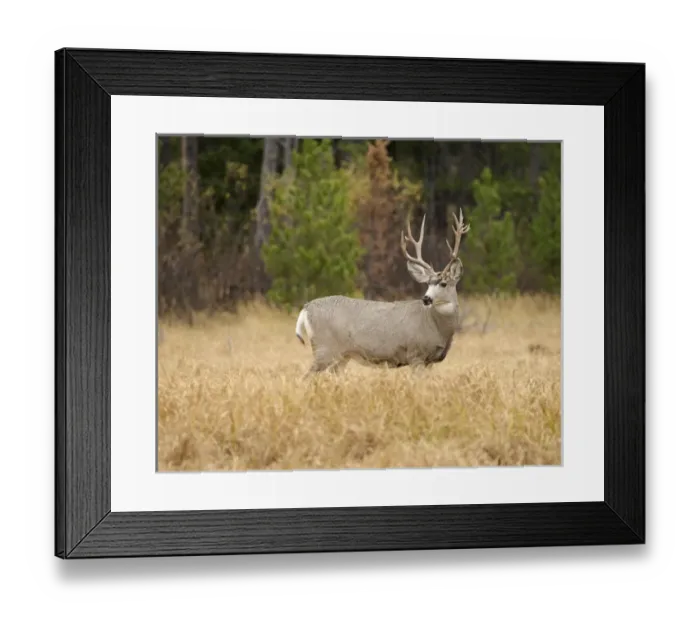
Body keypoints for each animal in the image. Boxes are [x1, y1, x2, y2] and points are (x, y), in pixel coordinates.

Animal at [295, 208, 471, 375]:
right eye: (428, 283)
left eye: (443, 283)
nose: (426, 298)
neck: (437, 327)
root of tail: (306, 308)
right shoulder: (416, 353)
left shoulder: (430, 362)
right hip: (324, 347)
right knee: (306, 377)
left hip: (342, 356)